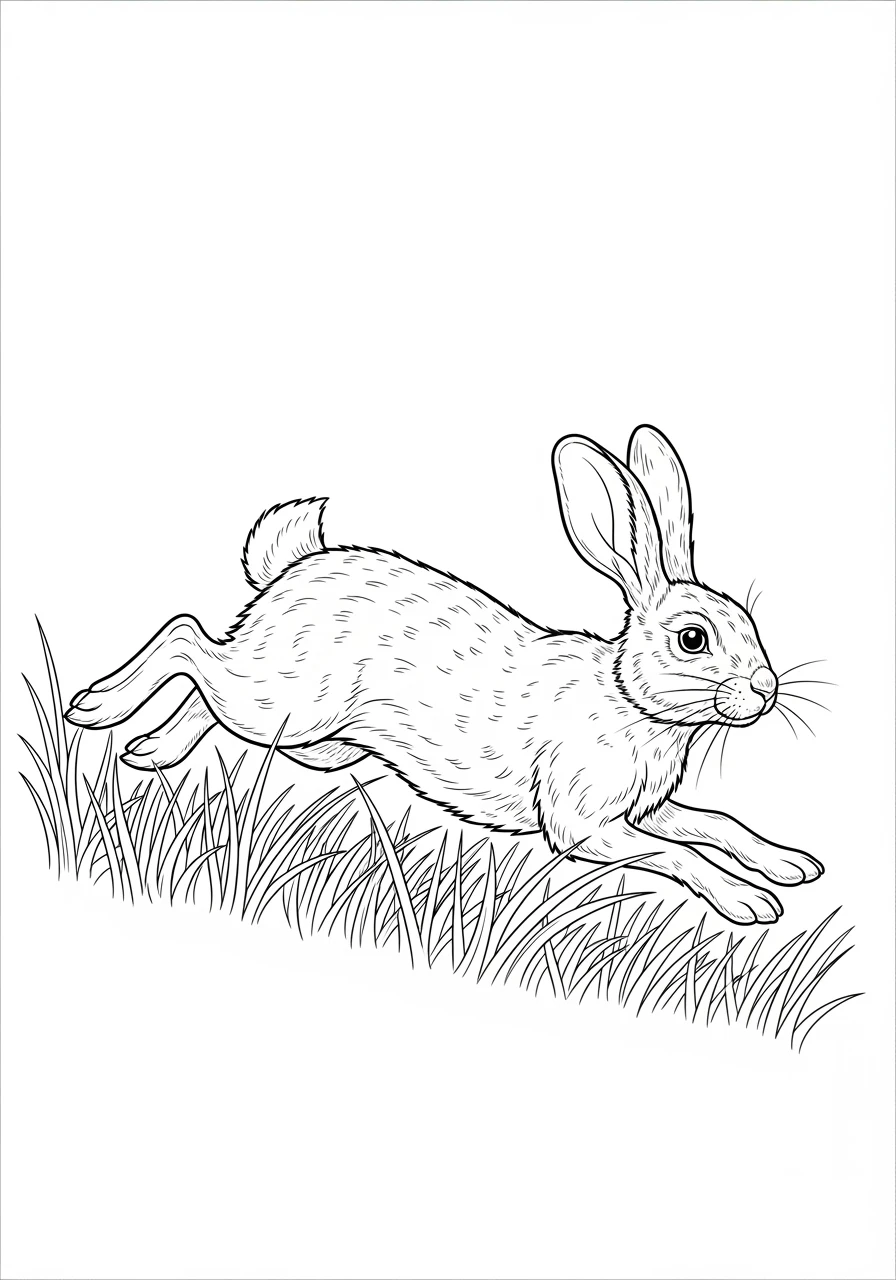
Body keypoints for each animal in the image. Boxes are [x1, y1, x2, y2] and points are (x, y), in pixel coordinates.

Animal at [65, 426, 823, 925]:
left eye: (750, 624)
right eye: (693, 639)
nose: (765, 691)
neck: (627, 700)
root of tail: (292, 570)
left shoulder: (646, 808)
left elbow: (715, 823)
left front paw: (791, 865)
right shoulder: (586, 825)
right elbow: (678, 856)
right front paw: (751, 902)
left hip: (307, 731)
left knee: (209, 684)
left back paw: (150, 751)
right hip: (290, 699)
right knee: (186, 638)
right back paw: (95, 706)